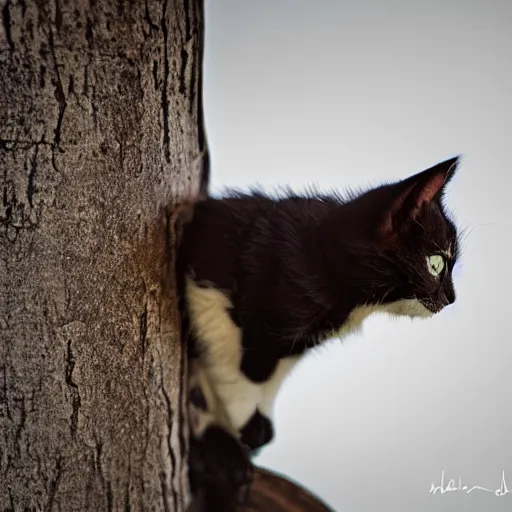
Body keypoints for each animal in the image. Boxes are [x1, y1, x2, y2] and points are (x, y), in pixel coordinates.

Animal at [179, 157, 460, 512]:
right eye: (436, 264)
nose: (453, 297)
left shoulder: (299, 341)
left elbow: (274, 368)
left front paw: (256, 422)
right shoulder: (214, 269)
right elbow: (242, 355)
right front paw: (243, 413)